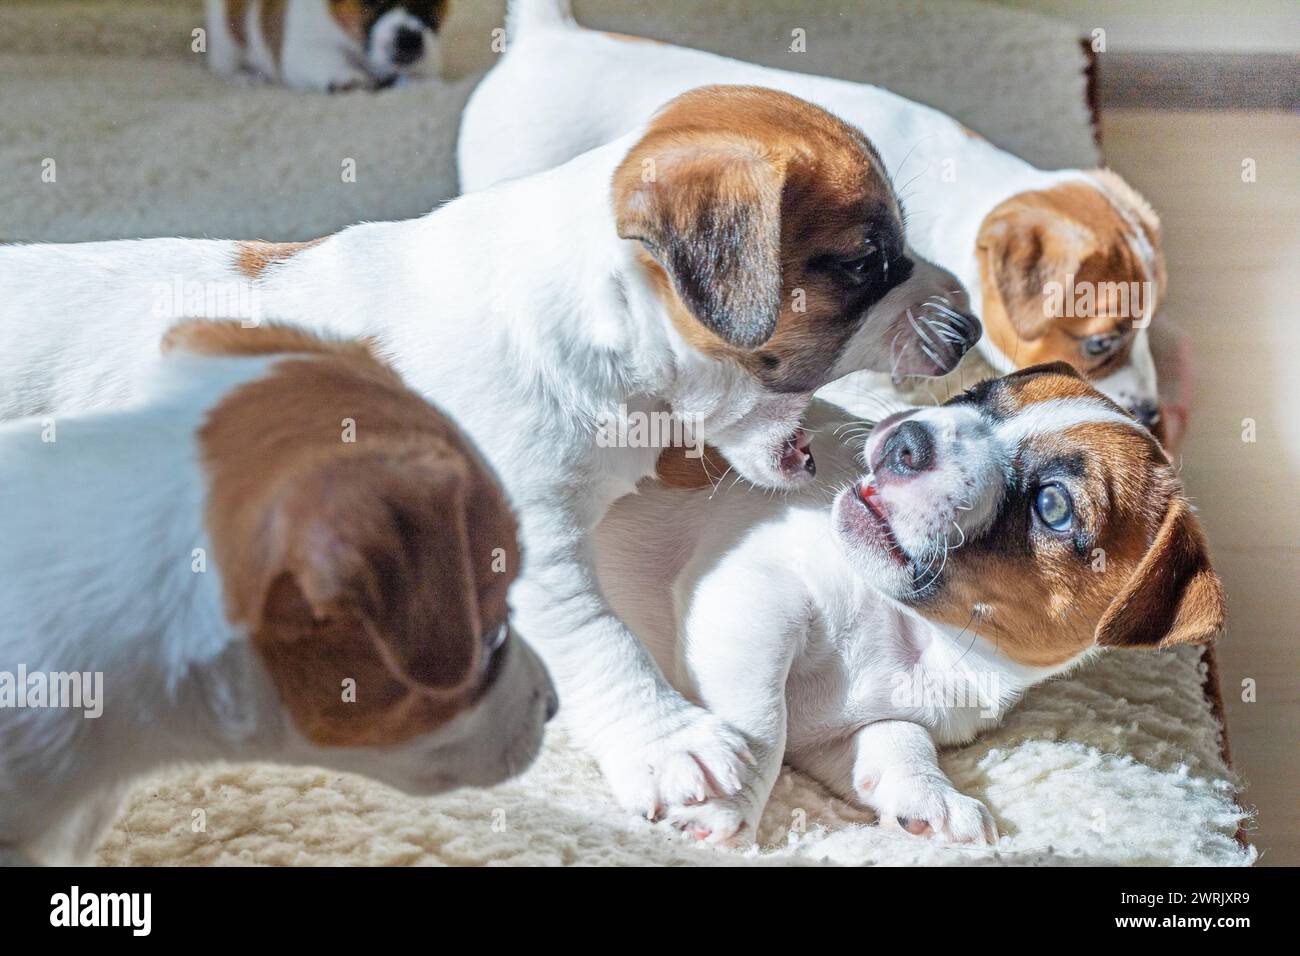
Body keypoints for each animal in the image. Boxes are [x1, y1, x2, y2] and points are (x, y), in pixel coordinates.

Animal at [204, 0, 447, 92]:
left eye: (430, 4)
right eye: (374, 2)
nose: (409, 40)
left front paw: (423, 83)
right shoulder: (304, 46)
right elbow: (327, 59)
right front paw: (346, 76)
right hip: (226, 39)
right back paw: (245, 77)